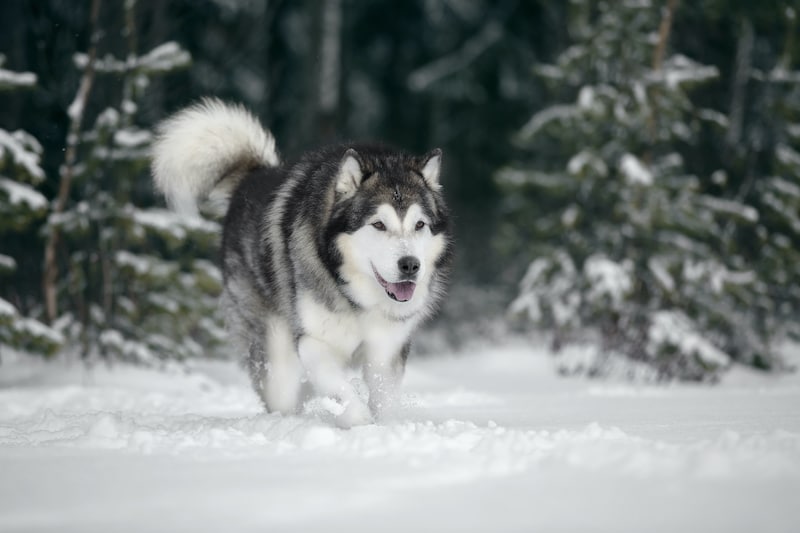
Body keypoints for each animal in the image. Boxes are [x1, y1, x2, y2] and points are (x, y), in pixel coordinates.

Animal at [150, 97, 450, 426]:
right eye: (379, 225)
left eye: (419, 225)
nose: (410, 265)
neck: (355, 297)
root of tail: (253, 177)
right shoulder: (313, 343)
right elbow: (344, 393)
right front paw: (359, 424)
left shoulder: (386, 351)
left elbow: (383, 399)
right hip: (278, 356)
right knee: (282, 397)